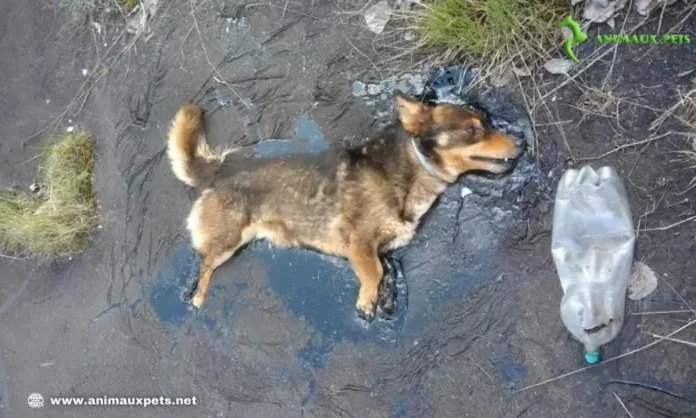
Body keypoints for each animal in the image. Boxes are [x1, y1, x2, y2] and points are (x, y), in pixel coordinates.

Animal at [166, 92, 520, 320]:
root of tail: (221, 169)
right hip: (226, 242)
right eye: (473, 130)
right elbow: (373, 273)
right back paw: (197, 297)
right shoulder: (359, 241)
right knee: (205, 266)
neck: (409, 170)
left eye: (486, 123)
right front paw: (367, 301)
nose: (522, 143)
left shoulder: (383, 249)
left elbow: (384, 270)